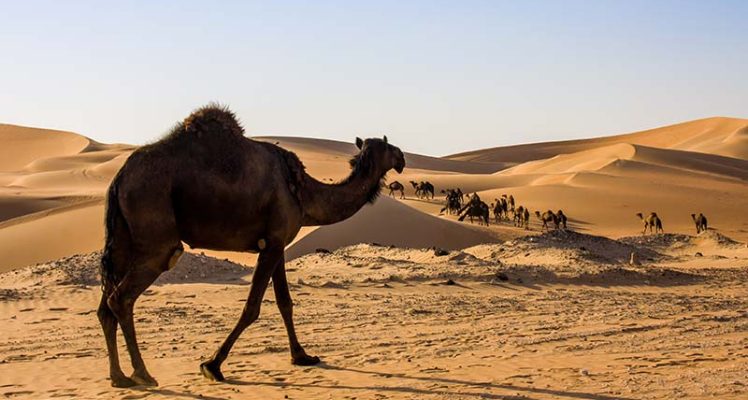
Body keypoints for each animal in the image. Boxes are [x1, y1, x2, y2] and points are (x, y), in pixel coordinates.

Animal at [97, 105, 405, 387]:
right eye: (388, 146)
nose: (402, 156)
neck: (303, 191)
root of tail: (120, 177)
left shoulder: (277, 243)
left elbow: (284, 302)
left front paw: (302, 356)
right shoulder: (272, 244)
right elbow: (252, 307)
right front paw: (212, 365)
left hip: (123, 238)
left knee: (107, 302)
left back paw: (119, 377)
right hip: (155, 232)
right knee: (122, 297)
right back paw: (142, 373)